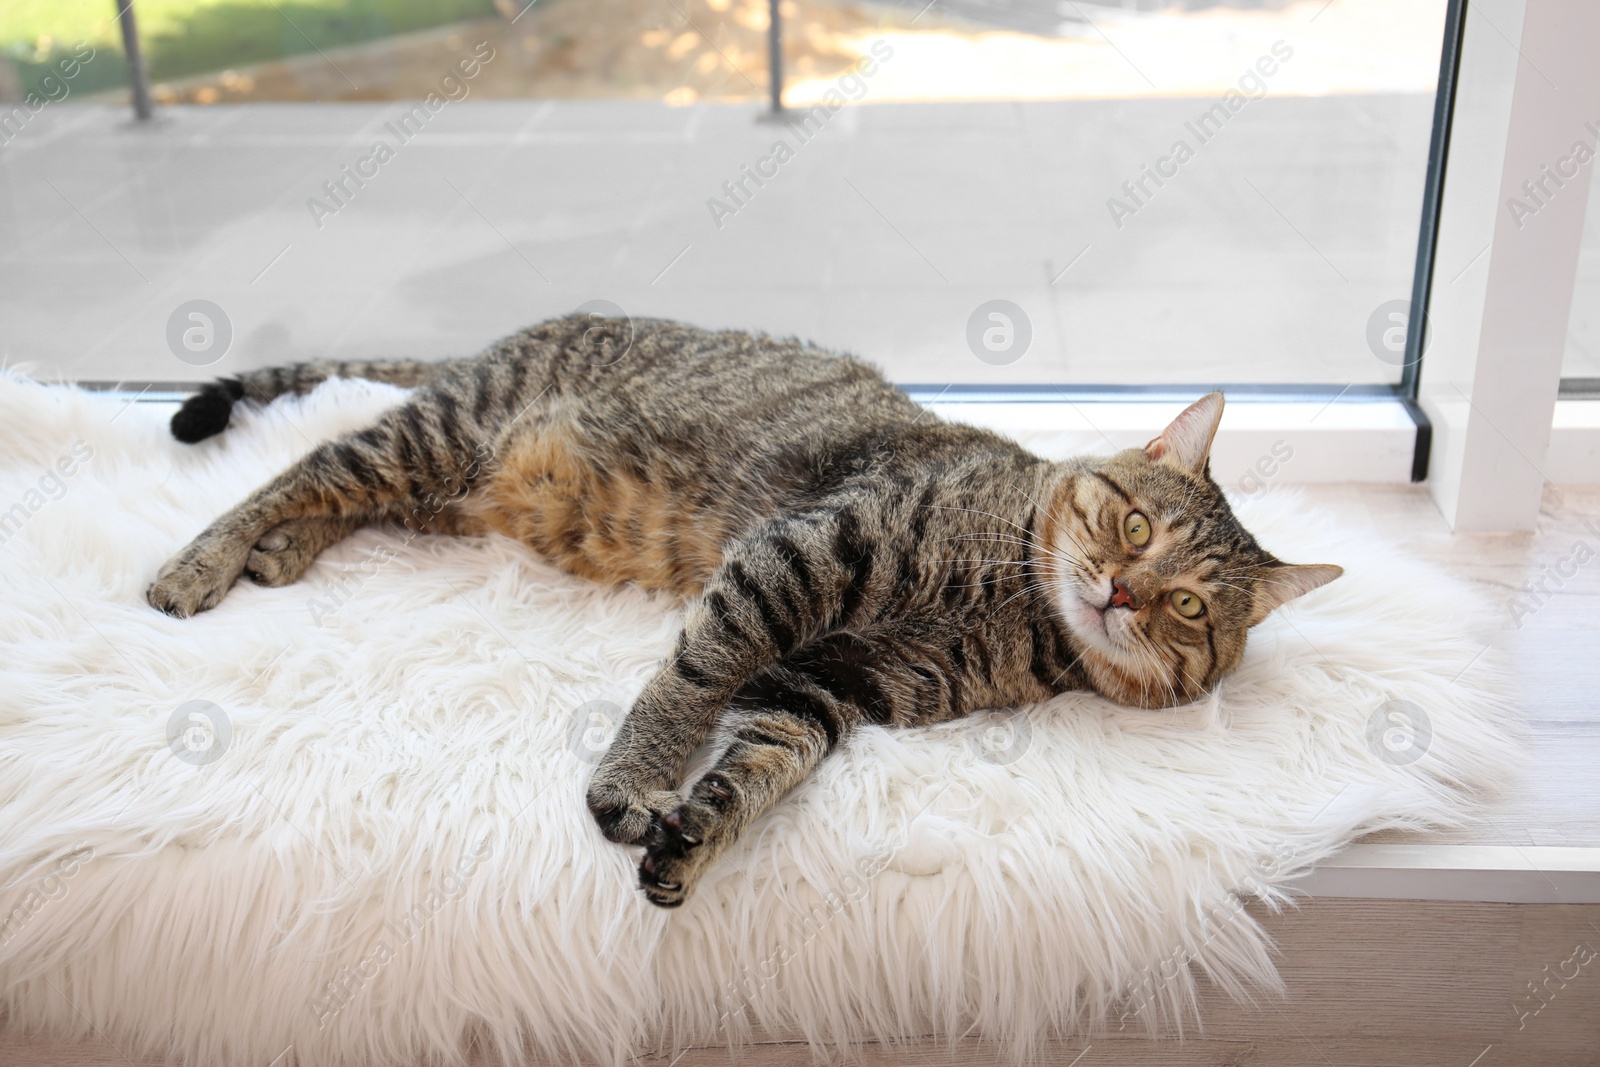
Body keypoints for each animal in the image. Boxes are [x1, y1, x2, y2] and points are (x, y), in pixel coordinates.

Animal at [147, 313, 1337, 908]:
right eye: (1135, 526)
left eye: (1188, 606)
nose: (1123, 591)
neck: (1019, 613)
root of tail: (508, 334)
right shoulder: (804, 555)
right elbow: (692, 679)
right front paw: (635, 778)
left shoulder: (833, 682)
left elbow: (763, 760)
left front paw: (695, 833)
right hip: (445, 435)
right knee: (303, 468)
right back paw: (203, 560)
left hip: (455, 488)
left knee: (343, 501)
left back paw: (280, 555)